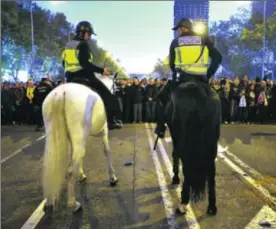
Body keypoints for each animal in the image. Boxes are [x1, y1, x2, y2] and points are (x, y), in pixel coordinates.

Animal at [42, 74, 118, 213]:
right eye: (115, 86)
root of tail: (60, 93)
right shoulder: (104, 129)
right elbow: (107, 151)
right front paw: (112, 177)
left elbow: (82, 154)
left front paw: (82, 175)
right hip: (79, 137)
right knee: (70, 171)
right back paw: (73, 204)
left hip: (56, 137)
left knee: (51, 168)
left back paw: (50, 201)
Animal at [165, 74, 221, 216]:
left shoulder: (175, 136)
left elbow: (175, 155)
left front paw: (175, 178)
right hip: (211, 143)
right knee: (211, 170)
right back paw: (212, 206)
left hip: (184, 140)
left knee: (186, 166)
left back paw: (183, 203)